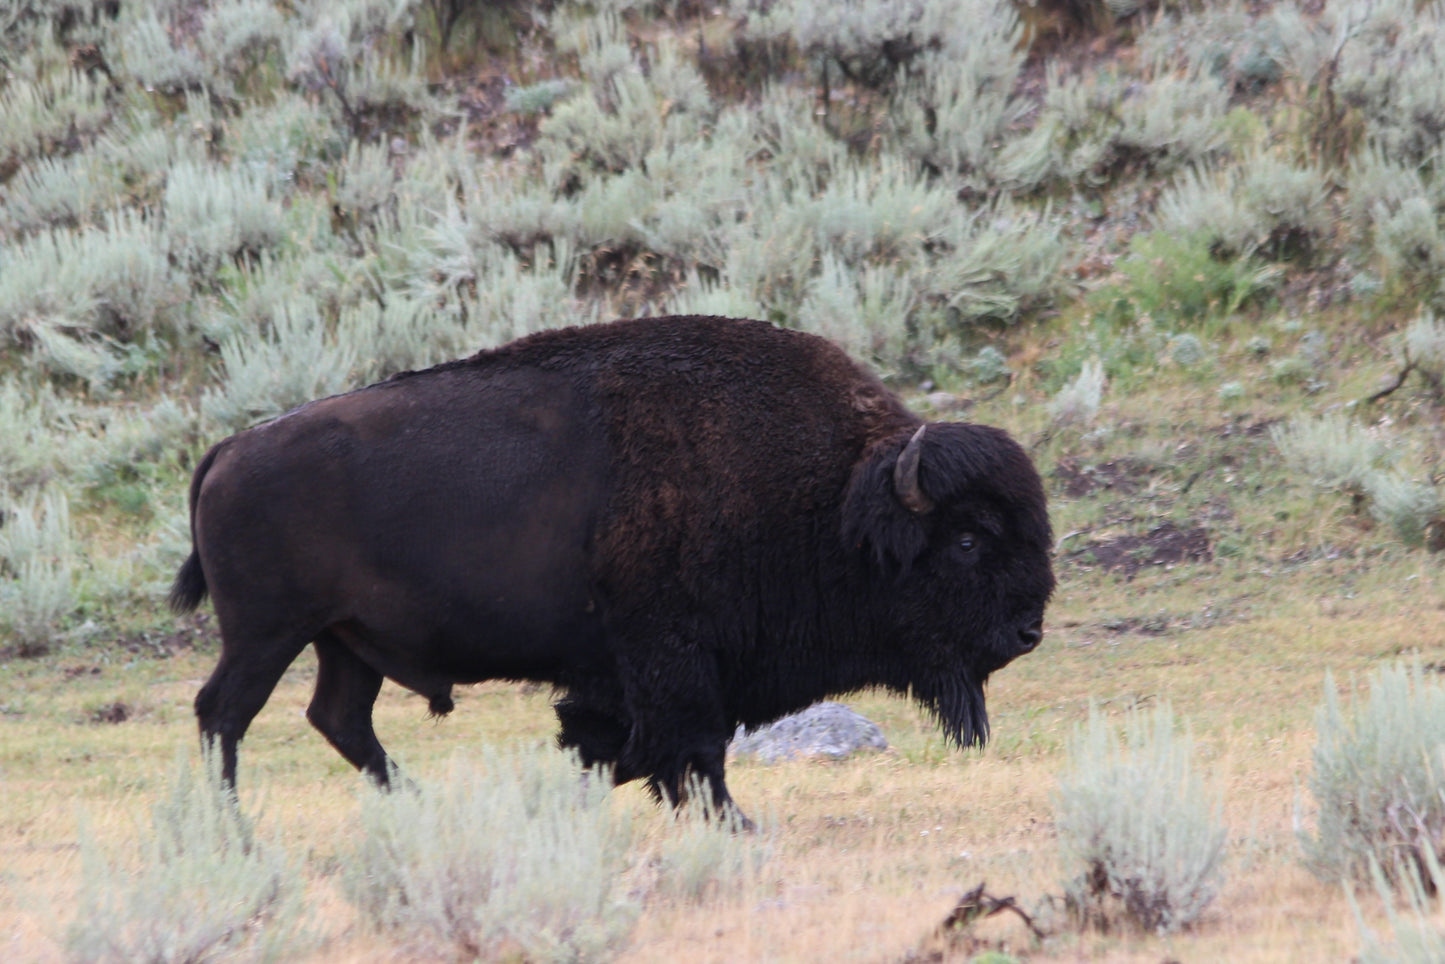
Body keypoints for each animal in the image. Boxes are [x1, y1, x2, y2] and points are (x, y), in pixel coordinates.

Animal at [169, 316, 1057, 820]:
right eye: (968, 539)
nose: (1027, 630)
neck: (835, 496)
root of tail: (228, 450)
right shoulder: (673, 659)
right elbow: (688, 748)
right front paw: (731, 824)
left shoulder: (628, 675)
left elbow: (620, 746)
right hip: (268, 633)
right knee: (225, 713)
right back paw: (228, 828)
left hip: (344, 642)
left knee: (338, 719)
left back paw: (415, 807)